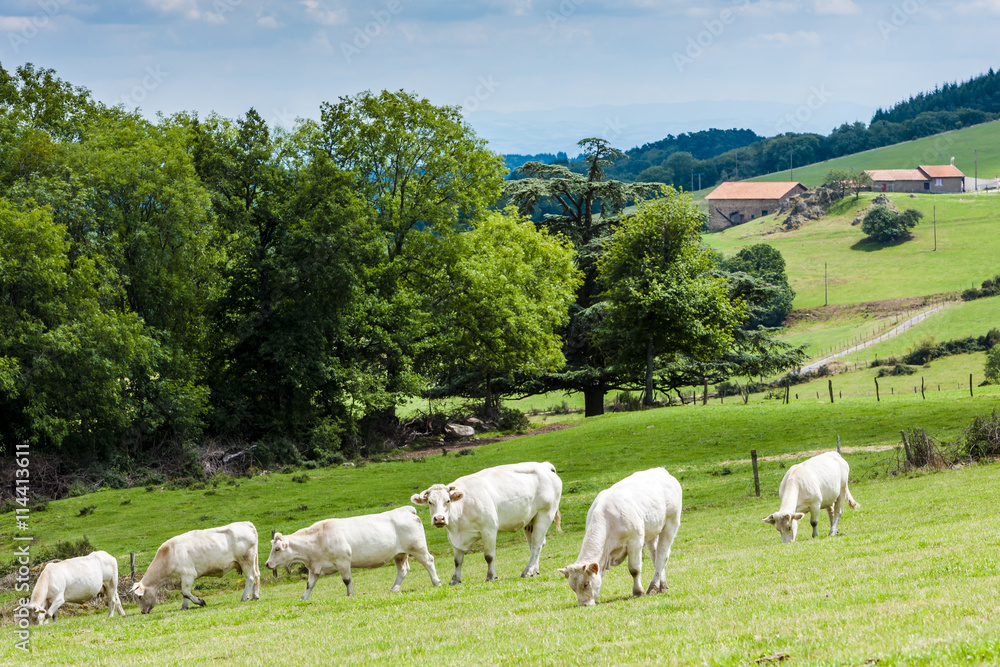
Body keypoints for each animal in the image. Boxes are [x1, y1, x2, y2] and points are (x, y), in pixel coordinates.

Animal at [130, 521, 260, 613]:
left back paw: (244, 597)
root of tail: (246, 523)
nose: (142, 612)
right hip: (253, 560)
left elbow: (186, 592)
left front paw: (200, 601)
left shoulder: (188, 575)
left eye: (140, 597)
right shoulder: (181, 579)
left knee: (250, 578)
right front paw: (184, 607)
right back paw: (255, 596)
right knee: (257, 576)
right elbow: (184, 594)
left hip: (245, 560)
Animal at [265, 506, 440, 599]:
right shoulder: (315, 567)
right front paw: (304, 598)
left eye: (277, 549)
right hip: (400, 554)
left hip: (418, 548)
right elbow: (310, 584)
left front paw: (350, 594)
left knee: (429, 561)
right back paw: (394, 588)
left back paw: (436, 581)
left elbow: (347, 580)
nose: (267, 564)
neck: (318, 538)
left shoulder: (343, 561)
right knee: (403, 570)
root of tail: (406, 510)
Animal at [412, 461, 562, 584]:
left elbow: (489, 556)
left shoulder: (489, 530)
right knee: (534, 546)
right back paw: (534, 570)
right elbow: (457, 560)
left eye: (447, 501)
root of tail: (544, 465)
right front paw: (455, 580)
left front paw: (490, 576)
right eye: (430, 502)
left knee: (536, 545)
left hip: (545, 514)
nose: (439, 518)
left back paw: (528, 571)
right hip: (530, 520)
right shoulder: (455, 537)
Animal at [558, 467, 682, 607]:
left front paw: (638, 592)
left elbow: (634, 569)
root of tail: (661, 470)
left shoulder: (635, 541)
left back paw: (653, 587)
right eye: (572, 587)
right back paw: (662, 585)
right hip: (652, 531)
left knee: (661, 555)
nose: (584, 604)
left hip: (671, 523)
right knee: (655, 556)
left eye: (586, 583)